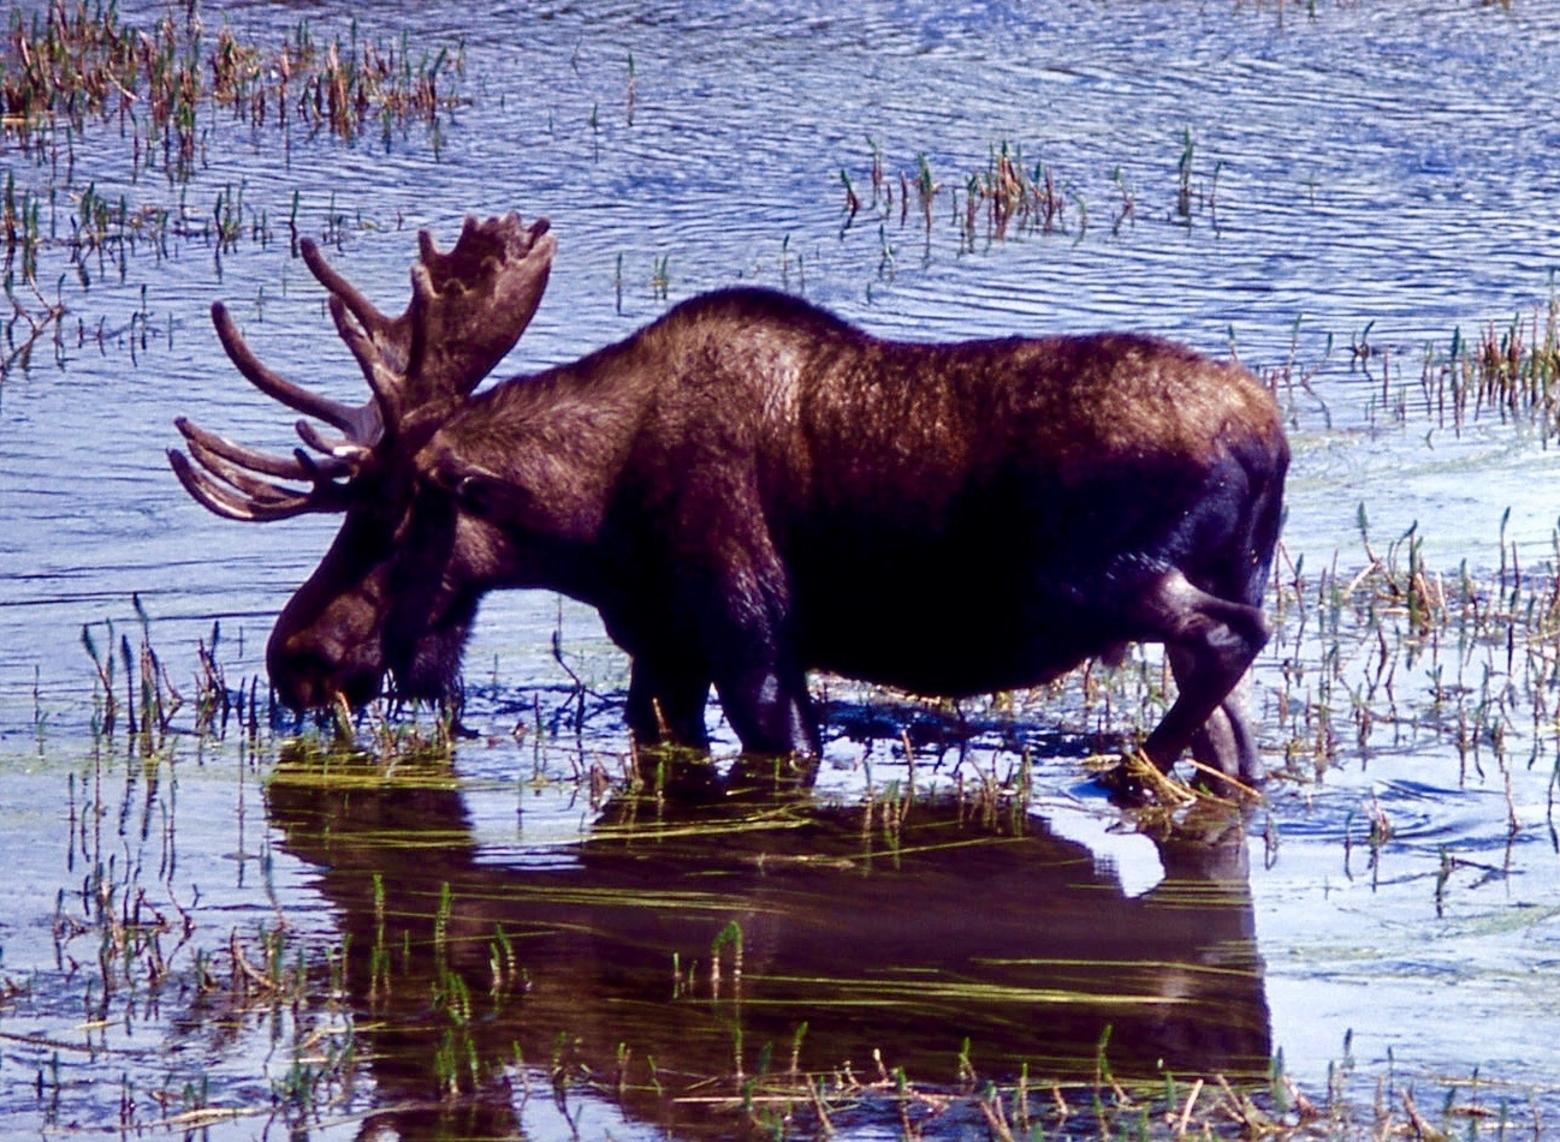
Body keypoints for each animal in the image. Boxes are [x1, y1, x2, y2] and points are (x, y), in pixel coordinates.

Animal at [170, 213, 1291, 786]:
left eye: (388, 516)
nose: (295, 656)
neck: (589, 522)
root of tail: (1271, 442)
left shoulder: (750, 630)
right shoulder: (663, 646)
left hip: (1100, 576)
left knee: (1229, 636)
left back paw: (1128, 767)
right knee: (1235, 725)